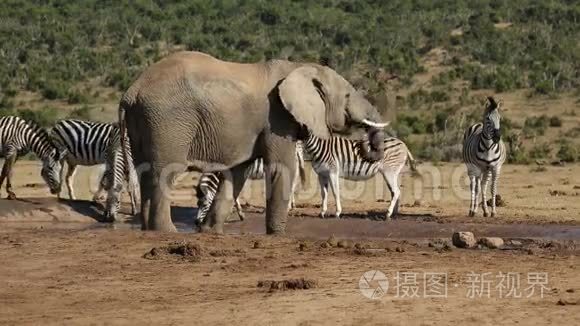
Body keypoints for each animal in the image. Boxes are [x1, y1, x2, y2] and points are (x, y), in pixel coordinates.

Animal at [118, 51, 390, 234]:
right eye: (347, 96)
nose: (369, 145)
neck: (299, 67)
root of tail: (131, 92)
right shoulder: (277, 119)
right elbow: (281, 168)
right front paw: (278, 236)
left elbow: (236, 173)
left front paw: (210, 232)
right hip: (168, 120)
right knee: (165, 171)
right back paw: (166, 232)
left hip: (146, 120)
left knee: (145, 172)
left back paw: (148, 229)